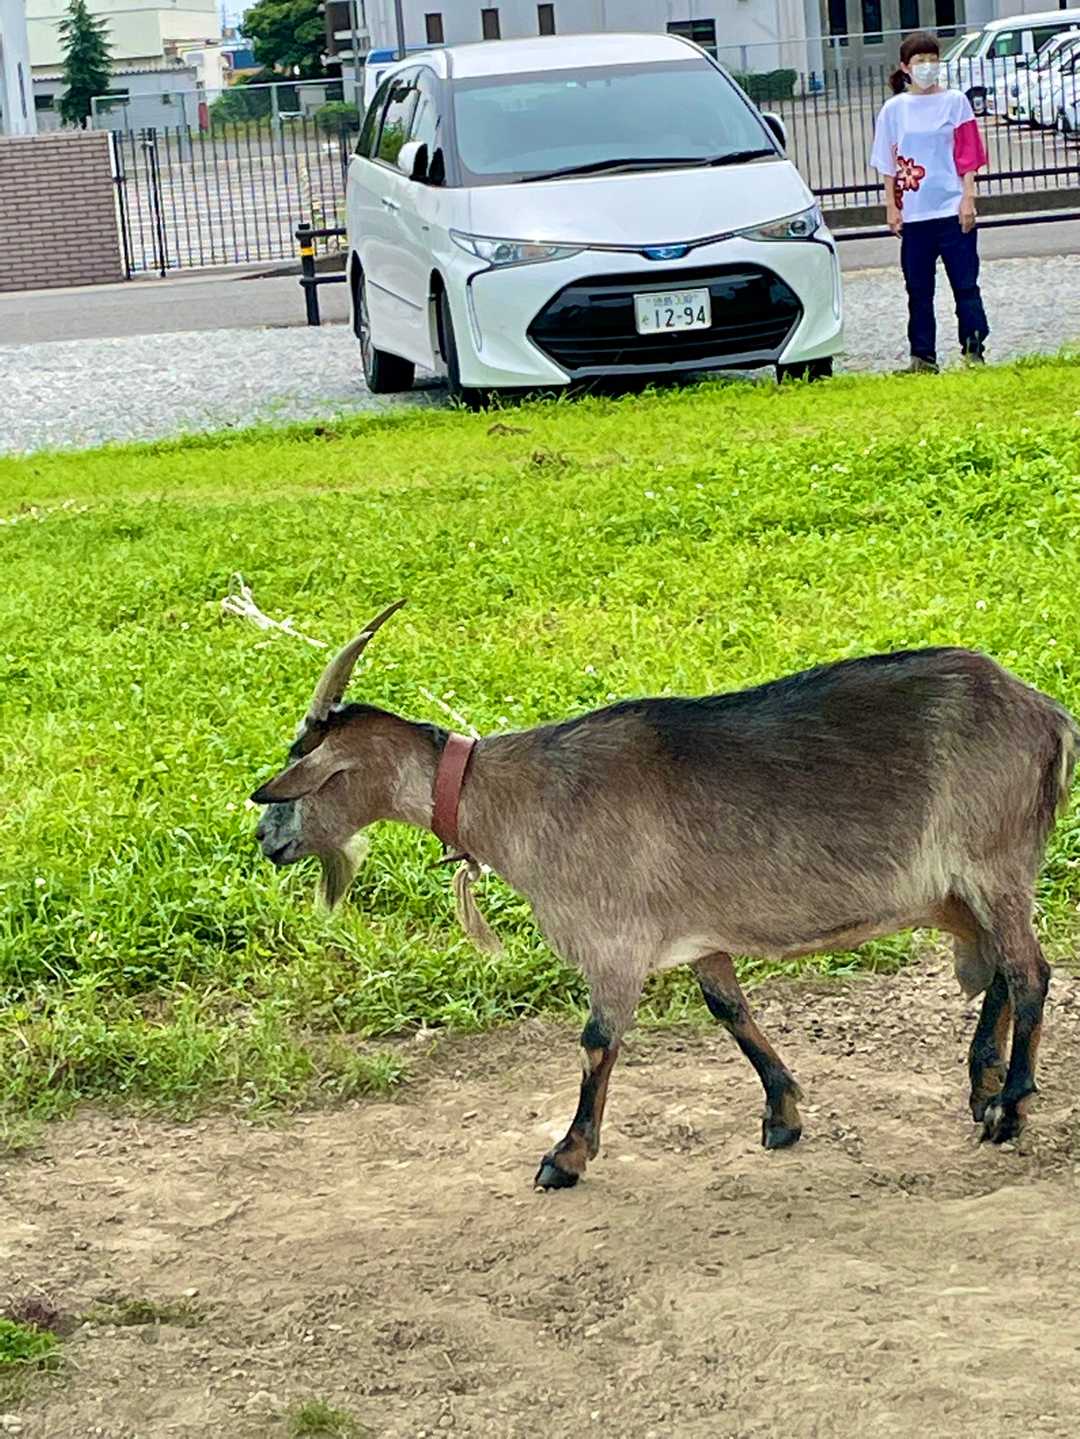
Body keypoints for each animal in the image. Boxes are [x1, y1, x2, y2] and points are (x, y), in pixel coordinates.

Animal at [251, 602, 1077, 1188]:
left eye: (303, 776)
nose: (265, 839)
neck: (518, 796)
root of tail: (1049, 716)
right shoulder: (699, 931)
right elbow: (729, 1009)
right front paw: (783, 1112)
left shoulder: (613, 939)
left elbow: (597, 1039)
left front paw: (566, 1155)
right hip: (967, 883)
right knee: (1001, 968)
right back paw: (982, 1084)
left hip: (994, 861)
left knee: (1030, 970)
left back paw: (1011, 1106)